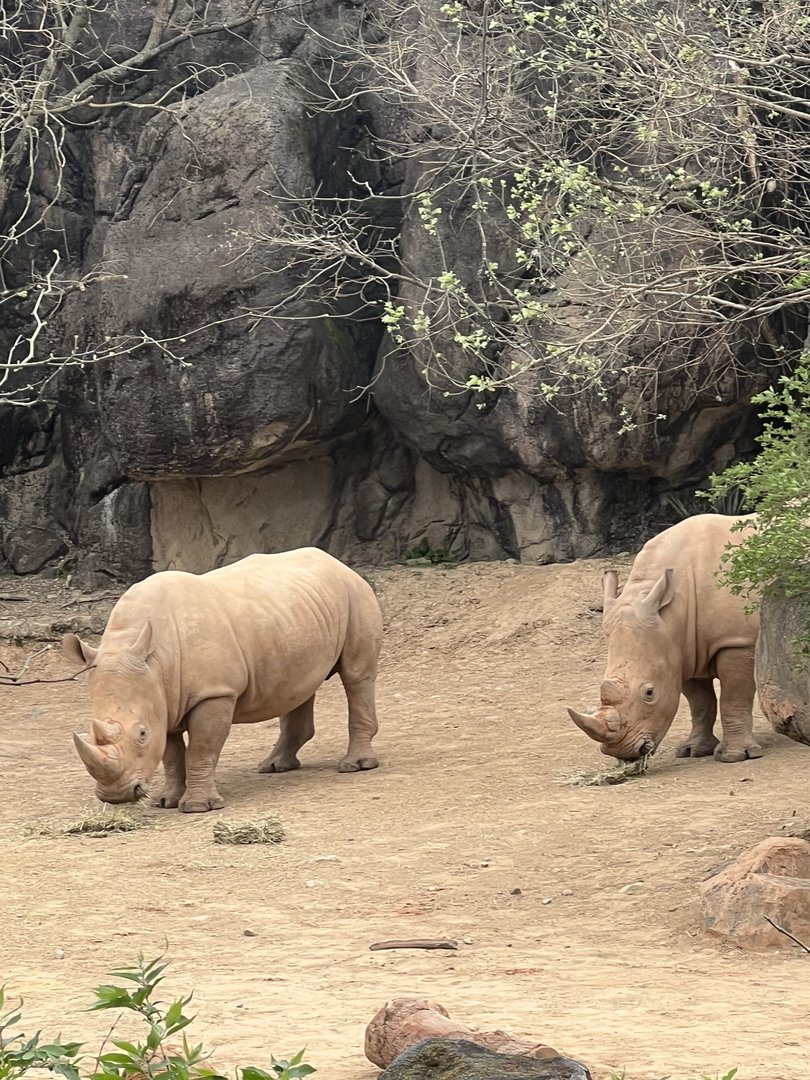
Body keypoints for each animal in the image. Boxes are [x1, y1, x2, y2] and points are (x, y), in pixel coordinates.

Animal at [64, 548, 383, 812]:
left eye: (141, 733)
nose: (115, 796)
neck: (155, 662)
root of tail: (338, 562)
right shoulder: (163, 700)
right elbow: (171, 754)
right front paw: (167, 801)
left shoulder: (215, 693)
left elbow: (202, 747)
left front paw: (197, 807)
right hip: (297, 614)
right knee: (299, 686)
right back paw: (274, 766)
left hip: (355, 595)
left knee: (356, 676)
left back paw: (355, 766)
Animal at [567, 514, 761, 763]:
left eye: (650, 693)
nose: (623, 753)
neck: (671, 614)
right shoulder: (683, 650)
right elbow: (700, 703)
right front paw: (693, 751)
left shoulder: (736, 641)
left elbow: (733, 698)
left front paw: (734, 757)